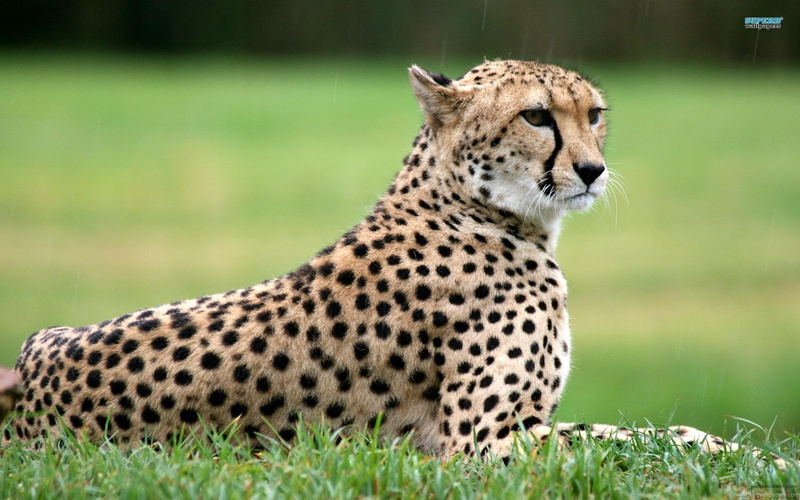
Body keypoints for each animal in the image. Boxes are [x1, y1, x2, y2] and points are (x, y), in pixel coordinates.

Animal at [2, 59, 789, 467]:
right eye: (537, 116)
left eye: (593, 114)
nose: (593, 171)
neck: (482, 210)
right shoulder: (478, 443)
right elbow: (647, 437)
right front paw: (761, 459)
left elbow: (654, 433)